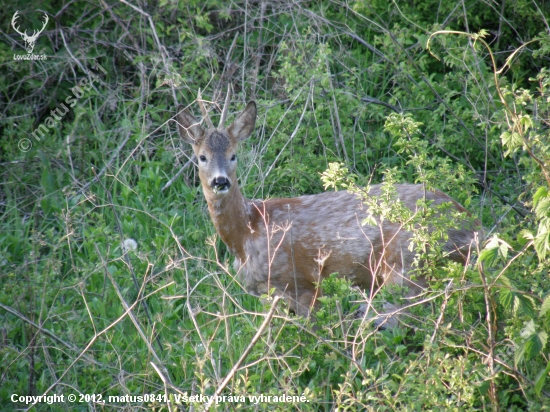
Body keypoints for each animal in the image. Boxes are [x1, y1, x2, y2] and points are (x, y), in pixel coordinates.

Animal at [177, 91, 484, 326]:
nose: (220, 181)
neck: (248, 232)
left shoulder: (300, 284)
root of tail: (474, 228)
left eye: (233, 155)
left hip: (407, 264)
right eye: (201, 157)